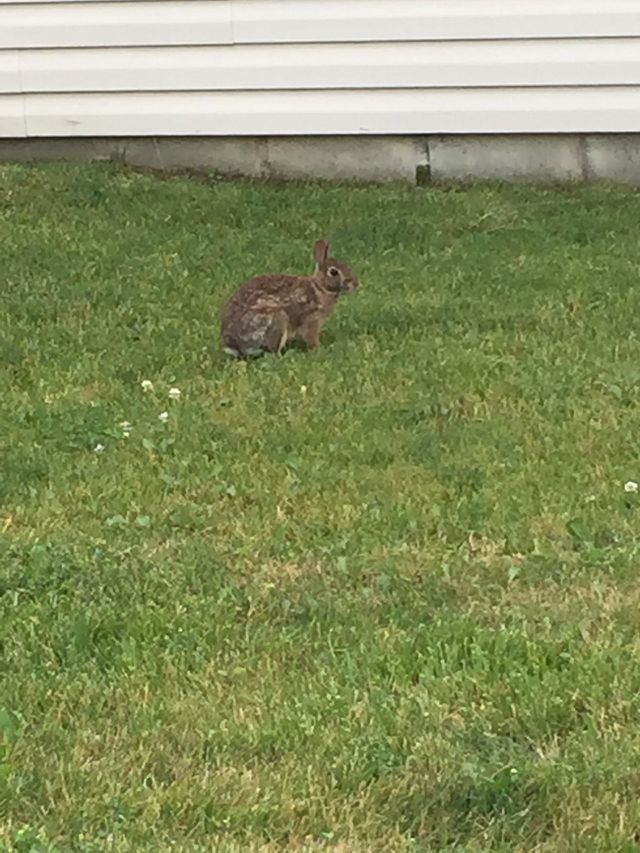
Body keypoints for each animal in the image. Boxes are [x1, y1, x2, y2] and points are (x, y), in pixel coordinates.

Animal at [220, 239, 359, 358]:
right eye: (333, 272)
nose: (356, 284)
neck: (320, 288)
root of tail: (233, 344)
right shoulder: (311, 320)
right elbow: (311, 338)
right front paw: (320, 349)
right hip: (277, 320)